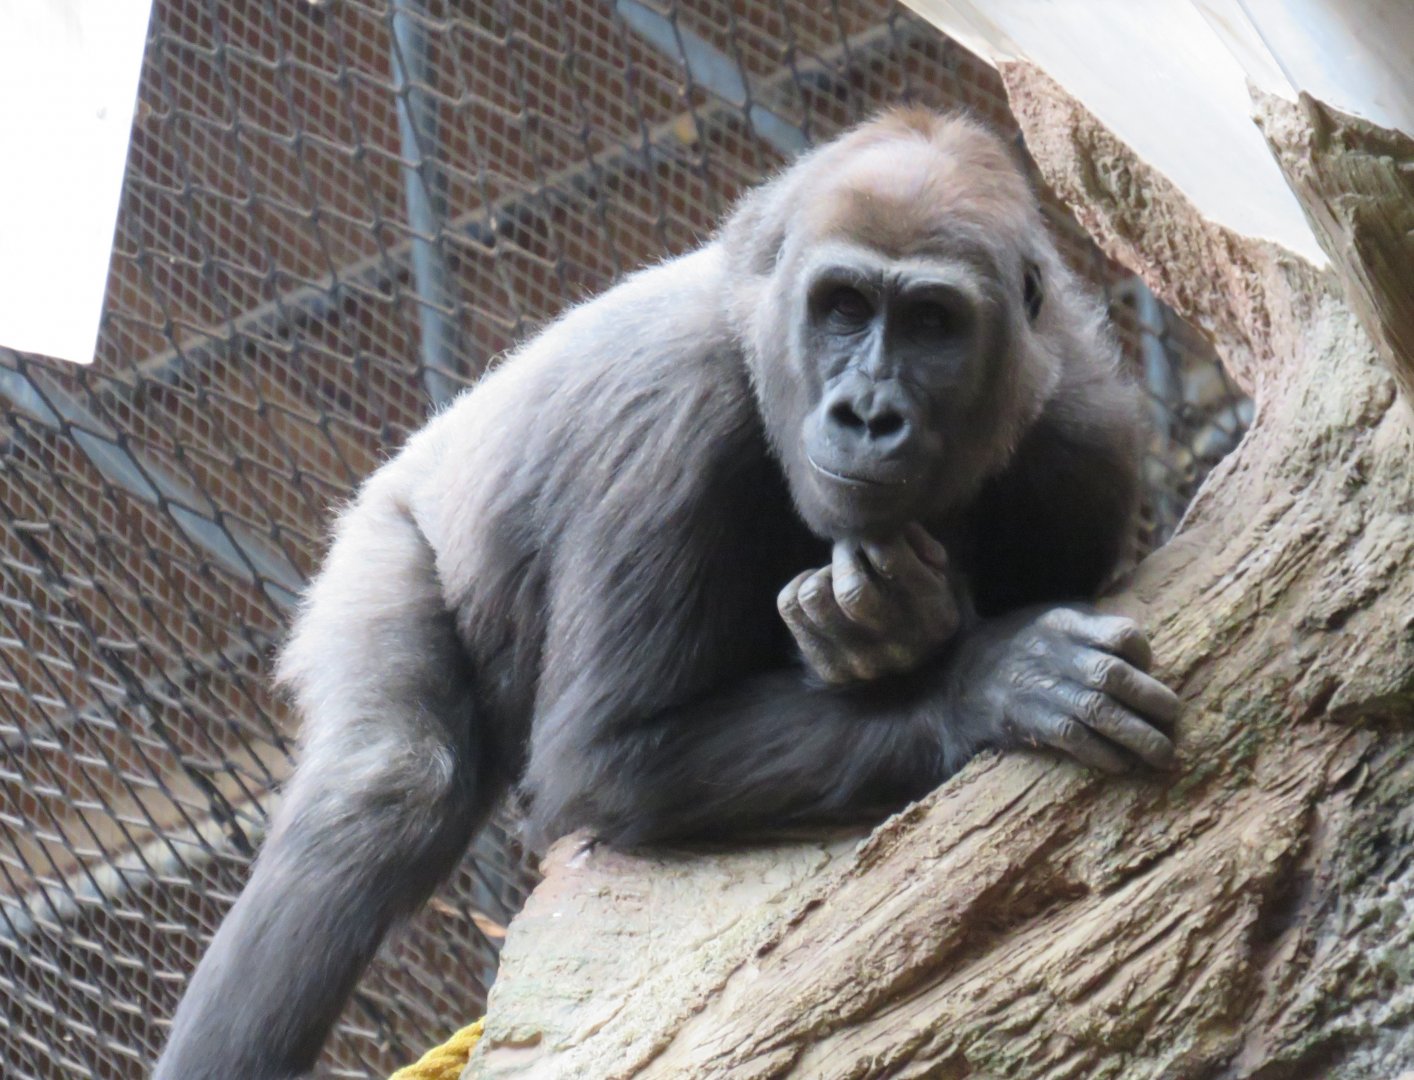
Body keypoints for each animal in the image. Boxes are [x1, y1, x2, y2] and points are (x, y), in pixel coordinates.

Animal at [154, 108, 1180, 1080]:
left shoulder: (1089, 437)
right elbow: (607, 757)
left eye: (934, 323)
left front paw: (907, 633)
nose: (867, 414)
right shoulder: (674, 420)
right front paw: (982, 676)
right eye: (843, 307)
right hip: (384, 531)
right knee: (387, 782)